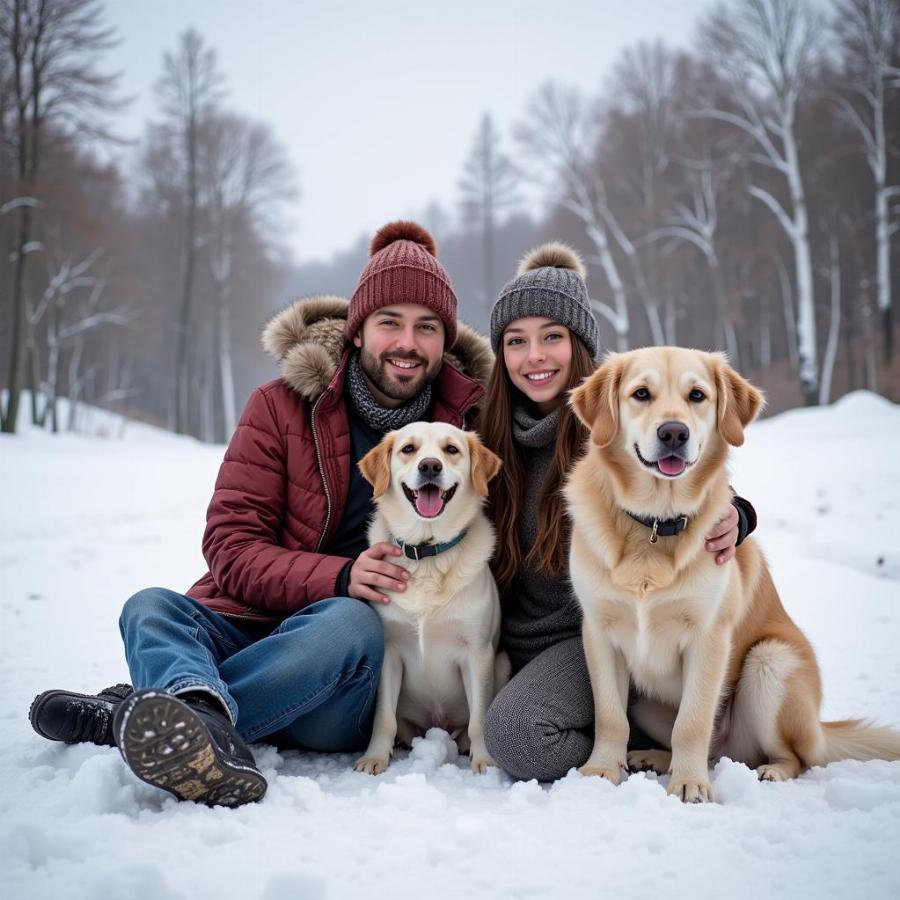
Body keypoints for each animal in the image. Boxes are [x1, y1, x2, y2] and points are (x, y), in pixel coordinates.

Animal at [354, 426, 510, 776]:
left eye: (451, 449)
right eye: (408, 449)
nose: (429, 467)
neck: (427, 553)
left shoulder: (477, 651)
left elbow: (479, 719)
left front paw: (484, 760)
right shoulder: (390, 650)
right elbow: (383, 718)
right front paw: (374, 757)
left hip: (503, 662)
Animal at [568, 348, 900, 804]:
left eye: (697, 395)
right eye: (641, 394)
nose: (674, 433)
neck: (655, 524)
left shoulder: (709, 637)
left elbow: (692, 722)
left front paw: (689, 784)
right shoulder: (599, 632)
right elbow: (610, 715)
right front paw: (602, 770)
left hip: (770, 662)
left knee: (793, 756)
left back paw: (770, 771)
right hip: (649, 701)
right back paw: (655, 756)